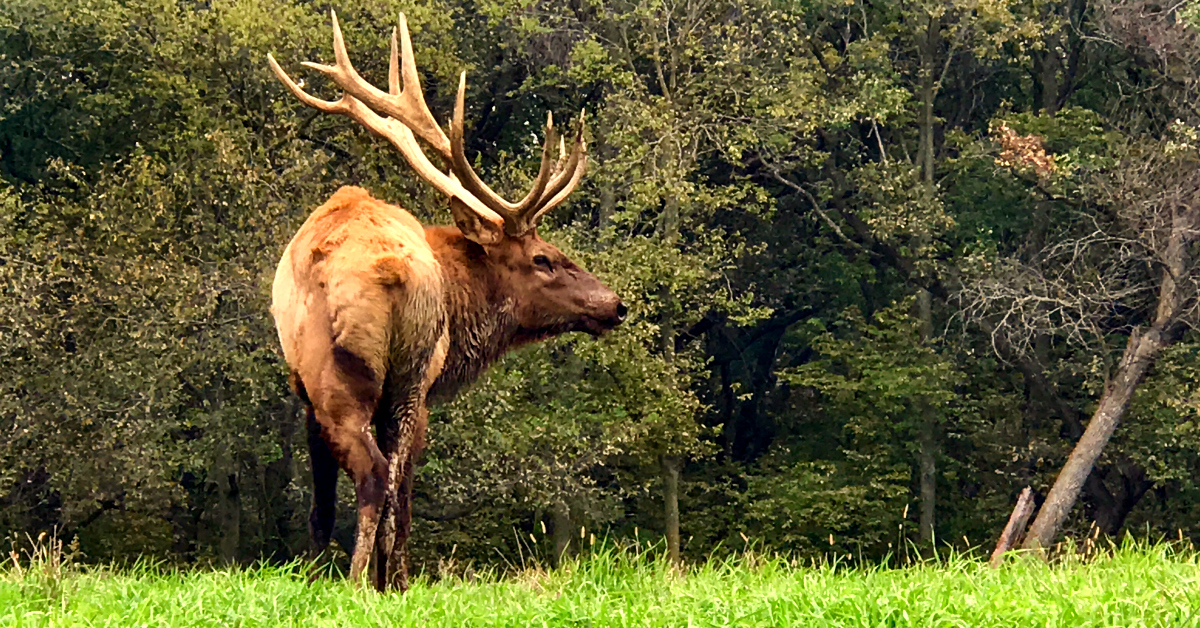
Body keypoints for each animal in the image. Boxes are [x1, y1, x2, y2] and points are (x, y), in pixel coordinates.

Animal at [266, 12, 624, 593]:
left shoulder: (305, 388)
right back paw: (392, 580)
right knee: (396, 481)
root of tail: (393, 270)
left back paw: (355, 580)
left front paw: (321, 572)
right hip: (408, 375)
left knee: (372, 473)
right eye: (544, 258)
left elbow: (322, 497)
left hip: (336, 373)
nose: (615, 304)